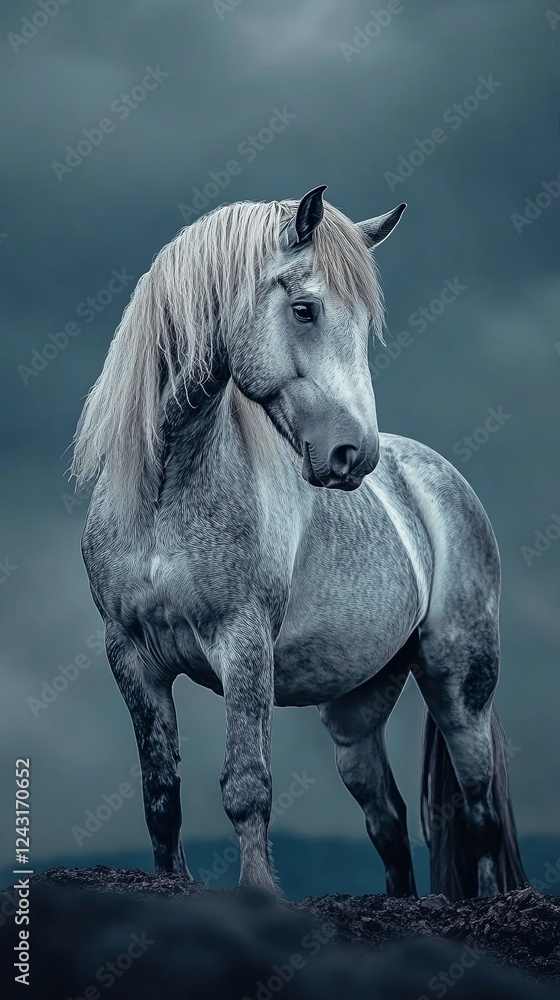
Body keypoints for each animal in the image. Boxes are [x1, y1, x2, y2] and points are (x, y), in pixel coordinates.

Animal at [72, 185, 526, 901]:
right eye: (305, 309)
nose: (353, 454)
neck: (167, 491)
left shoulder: (243, 641)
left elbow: (246, 786)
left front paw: (260, 895)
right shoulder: (132, 657)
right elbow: (160, 796)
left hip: (459, 684)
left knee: (479, 816)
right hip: (355, 708)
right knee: (388, 820)